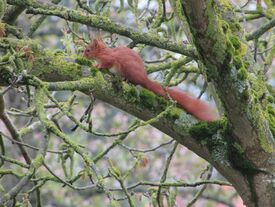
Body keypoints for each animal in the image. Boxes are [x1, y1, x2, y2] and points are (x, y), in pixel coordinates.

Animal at [83, 38, 219, 121]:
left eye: (88, 50)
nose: (83, 55)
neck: (102, 52)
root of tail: (144, 78)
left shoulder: (110, 58)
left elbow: (107, 63)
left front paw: (98, 66)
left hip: (128, 69)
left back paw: (126, 79)